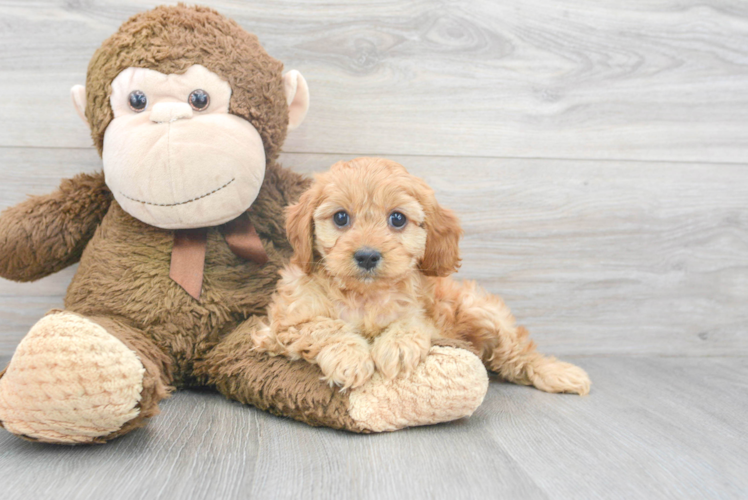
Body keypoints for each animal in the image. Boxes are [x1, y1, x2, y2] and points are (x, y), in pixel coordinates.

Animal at [251, 158, 592, 396]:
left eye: (397, 219)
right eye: (341, 218)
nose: (367, 256)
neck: (364, 296)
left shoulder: (426, 314)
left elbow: (412, 321)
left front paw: (397, 347)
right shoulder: (281, 325)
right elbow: (324, 326)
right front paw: (350, 357)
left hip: (481, 310)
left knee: (518, 354)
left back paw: (557, 373)